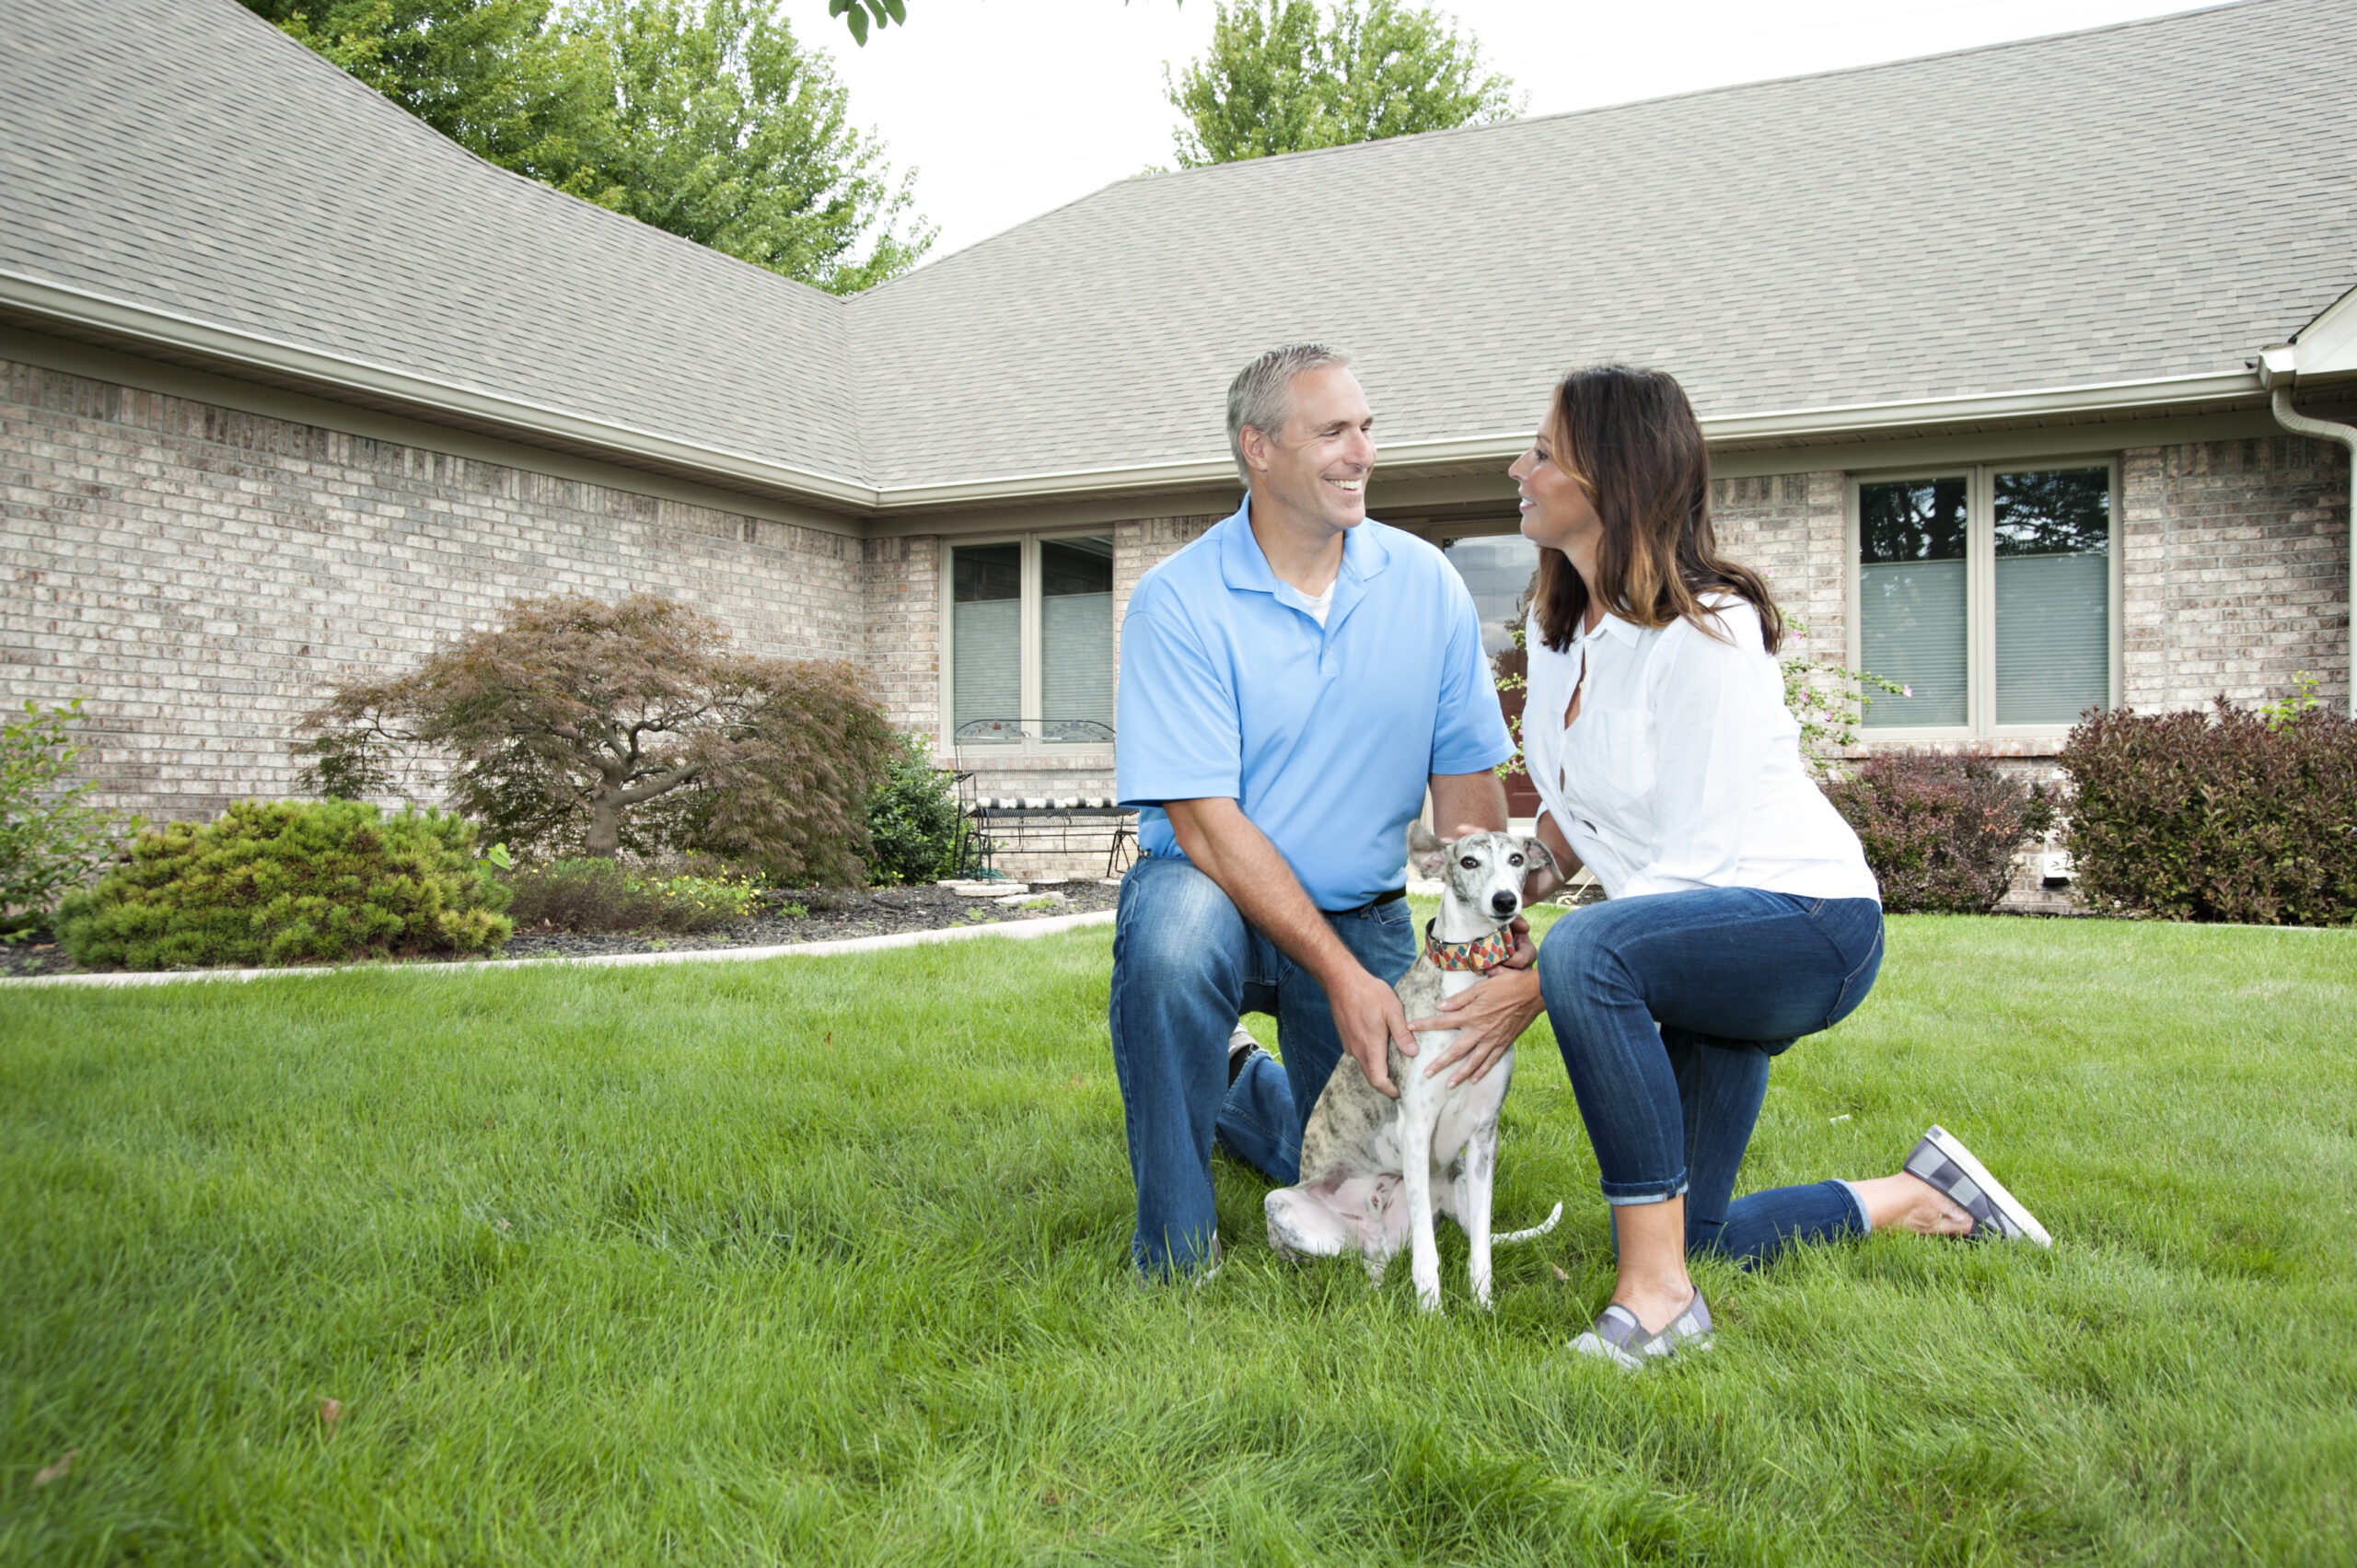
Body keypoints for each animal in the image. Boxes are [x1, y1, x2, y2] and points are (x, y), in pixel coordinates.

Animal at [1272, 820, 1564, 1310]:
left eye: (1517, 860)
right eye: (1469, 861)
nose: (1506, 901)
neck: (1467, 977)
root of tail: (1377, 1232)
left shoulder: (1484, 1137)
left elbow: (1481, 1243)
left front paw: (1483, 1305)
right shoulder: (1416, 1125)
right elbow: (1429, 1256)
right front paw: (1432, 1312)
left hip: (1456, 1181)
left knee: (1392, 1253)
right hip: (1286, 1208)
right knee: (1360, 1256)